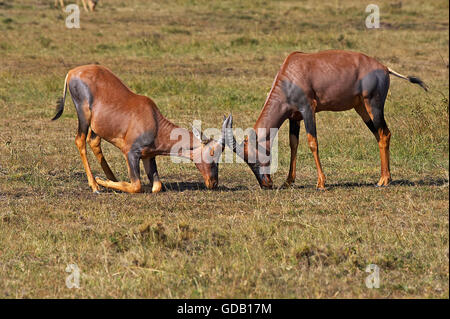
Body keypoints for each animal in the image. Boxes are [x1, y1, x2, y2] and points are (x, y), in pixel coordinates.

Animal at [52, 65, 227, 192]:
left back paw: (112, 179)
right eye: (212, 153)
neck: (154, 121)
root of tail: (72, 72)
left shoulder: (148, 157)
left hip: (97, 126)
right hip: (83, 115)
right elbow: (137, 186)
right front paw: (100, 181)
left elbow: (157, 186)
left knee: (93, 141)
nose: (213, 183)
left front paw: (106, 180)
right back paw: (95, 186)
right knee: (80, 140)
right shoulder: (131, 153)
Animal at [223, 50, 428, 190]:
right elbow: (293, 144)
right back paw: (385, 177)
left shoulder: (308, 110)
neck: (292, 71)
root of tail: (385, 68)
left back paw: (383, 180)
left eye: (252, 158)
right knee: (379, 135)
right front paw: (288, 181)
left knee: (385, 134)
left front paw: (321, 183)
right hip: (361, 108)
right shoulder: (294, 117)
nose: (266, 184)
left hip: (374, 104)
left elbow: (312, 143)